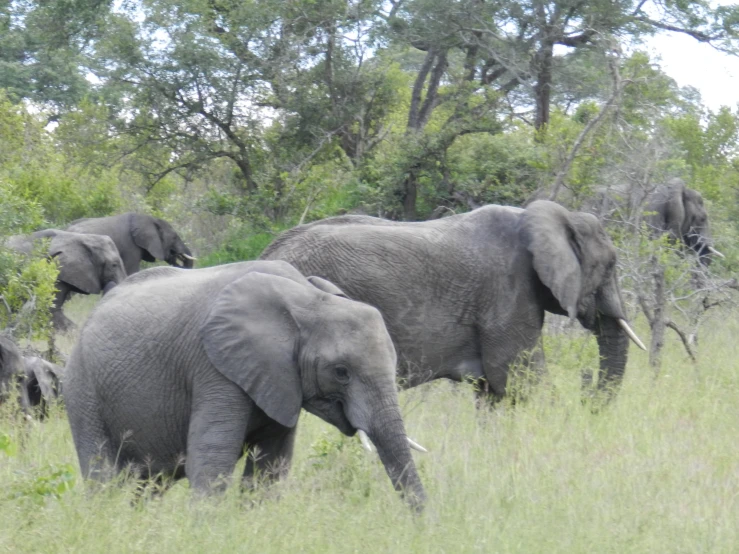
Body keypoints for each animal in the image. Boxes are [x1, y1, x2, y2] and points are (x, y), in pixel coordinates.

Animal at [64, 258, 428, 504]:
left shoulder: (280, 377)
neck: (307, 298)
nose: (423, 526)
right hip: (81, 388)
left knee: (149, 484)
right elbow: (212, 460)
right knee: (101, 473)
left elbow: (271, 465)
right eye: (341, 371)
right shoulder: (213, 366)